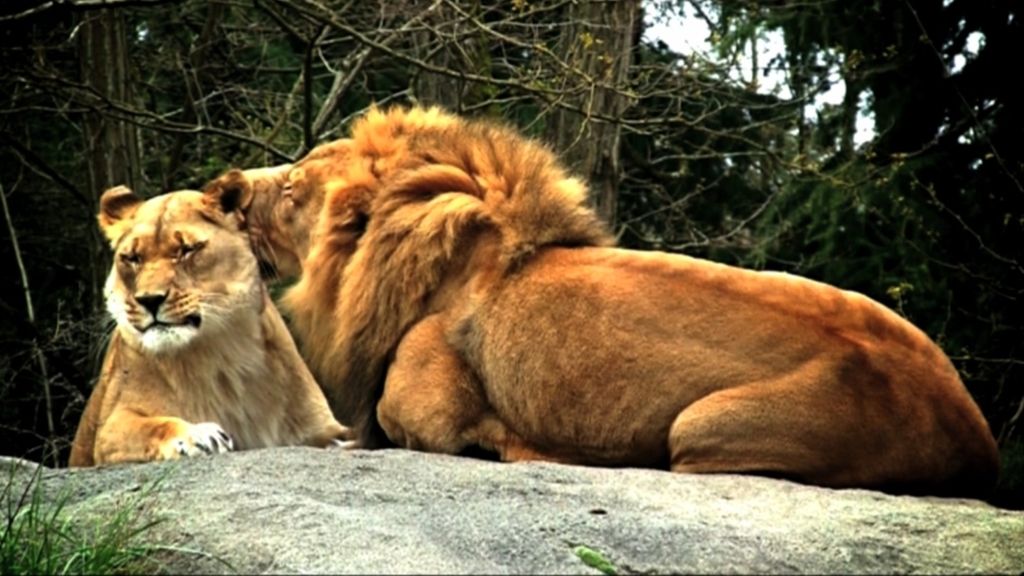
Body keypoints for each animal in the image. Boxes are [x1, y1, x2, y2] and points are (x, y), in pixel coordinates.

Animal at [68, 183, 350, 467]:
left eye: (186, 249)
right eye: (132, 258)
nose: (149, 299)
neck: (219, 354)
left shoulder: (323, 425)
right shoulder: (110, 430)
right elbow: (153, 426)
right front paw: (198, 435)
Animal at [207, 105, 999, 496]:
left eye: (292, 187)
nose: (229, 186)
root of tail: (977, 434)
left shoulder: (428, 402)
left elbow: (417, 423)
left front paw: (508, 445)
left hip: (700, 430)